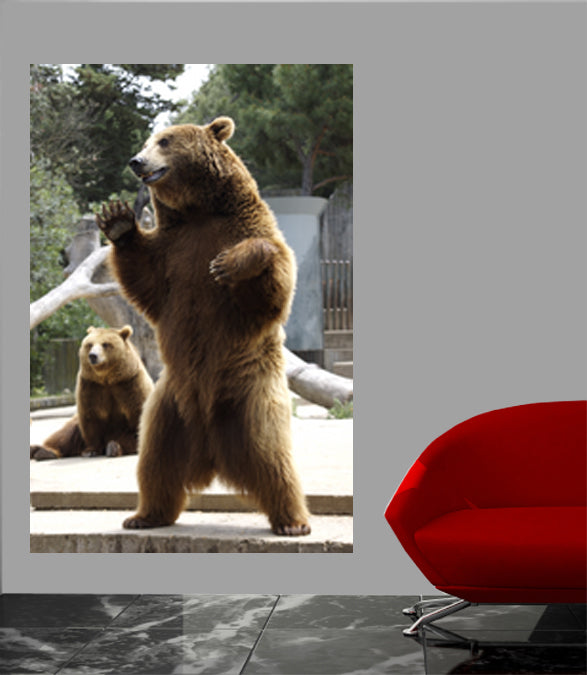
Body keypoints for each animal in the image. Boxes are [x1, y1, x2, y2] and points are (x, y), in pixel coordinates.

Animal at [30, 325, 154, 460]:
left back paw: (113, 447)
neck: (107, 378)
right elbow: (90, 417)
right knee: (65, 434)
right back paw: (44, 451)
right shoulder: (91, 387)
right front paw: (91, 451)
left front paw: (114, 447)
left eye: (105, 344)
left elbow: (137, 416)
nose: (93, 356)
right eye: (89, 344)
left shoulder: (130, 384)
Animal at [95, 116, 311, 536]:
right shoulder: (172, 254)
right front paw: (117, 220)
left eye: (164, 141)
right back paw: (144, 515)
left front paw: (229, 264)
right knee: (155, 462)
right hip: (167, 406)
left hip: (251, 392)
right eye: (147, 141)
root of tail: (211, 451)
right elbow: (144, 277)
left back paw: (292, 521)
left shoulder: (246, 229)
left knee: (274, 458)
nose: (136, 161)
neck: (198, 212)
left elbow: (273, 284)